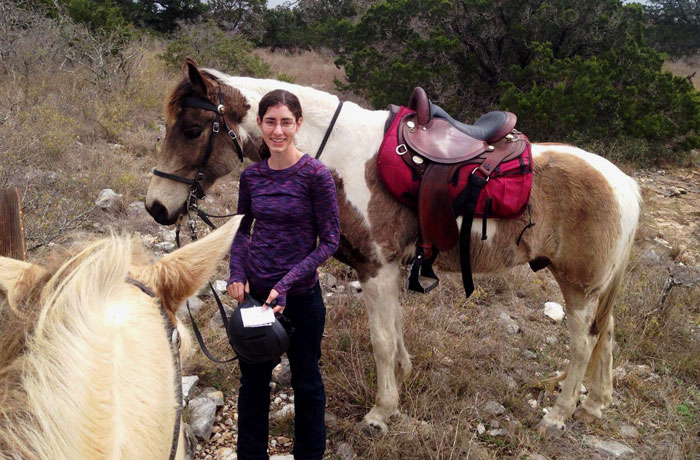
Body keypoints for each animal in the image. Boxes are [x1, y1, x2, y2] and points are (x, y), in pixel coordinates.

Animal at [146, 60, 640, 434]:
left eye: (192, 130)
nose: (156, 207)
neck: (340, 155)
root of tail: (622, 183)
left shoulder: (376, 266)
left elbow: (381, 339)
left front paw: (381, 412)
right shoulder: (392, 267)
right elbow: (396, 329)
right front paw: (401, 378)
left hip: (578, 286)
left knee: (584, 343)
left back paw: (559, 415)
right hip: (595, 288)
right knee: (608, 333)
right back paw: (595, 403)